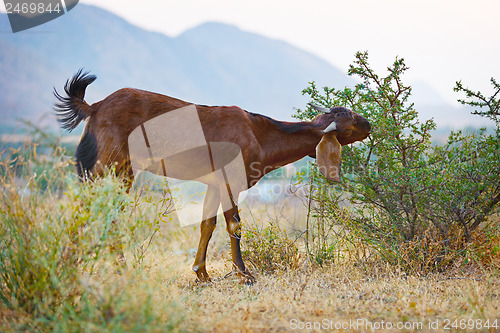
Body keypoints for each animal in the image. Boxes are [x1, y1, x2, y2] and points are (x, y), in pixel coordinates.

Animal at [54, 70, 370, 282]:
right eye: (348, 118)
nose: (368, 124)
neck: (260, 134)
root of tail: (95, 107)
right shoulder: (231, 179)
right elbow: (234, 224)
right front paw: (243, 274)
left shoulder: (214, 183)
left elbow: (207, 224)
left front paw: (202, 273)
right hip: (103, 166)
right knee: (85, 210)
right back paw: (72, 264)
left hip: (123, 172)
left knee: (109, 212)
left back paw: (116, 267)